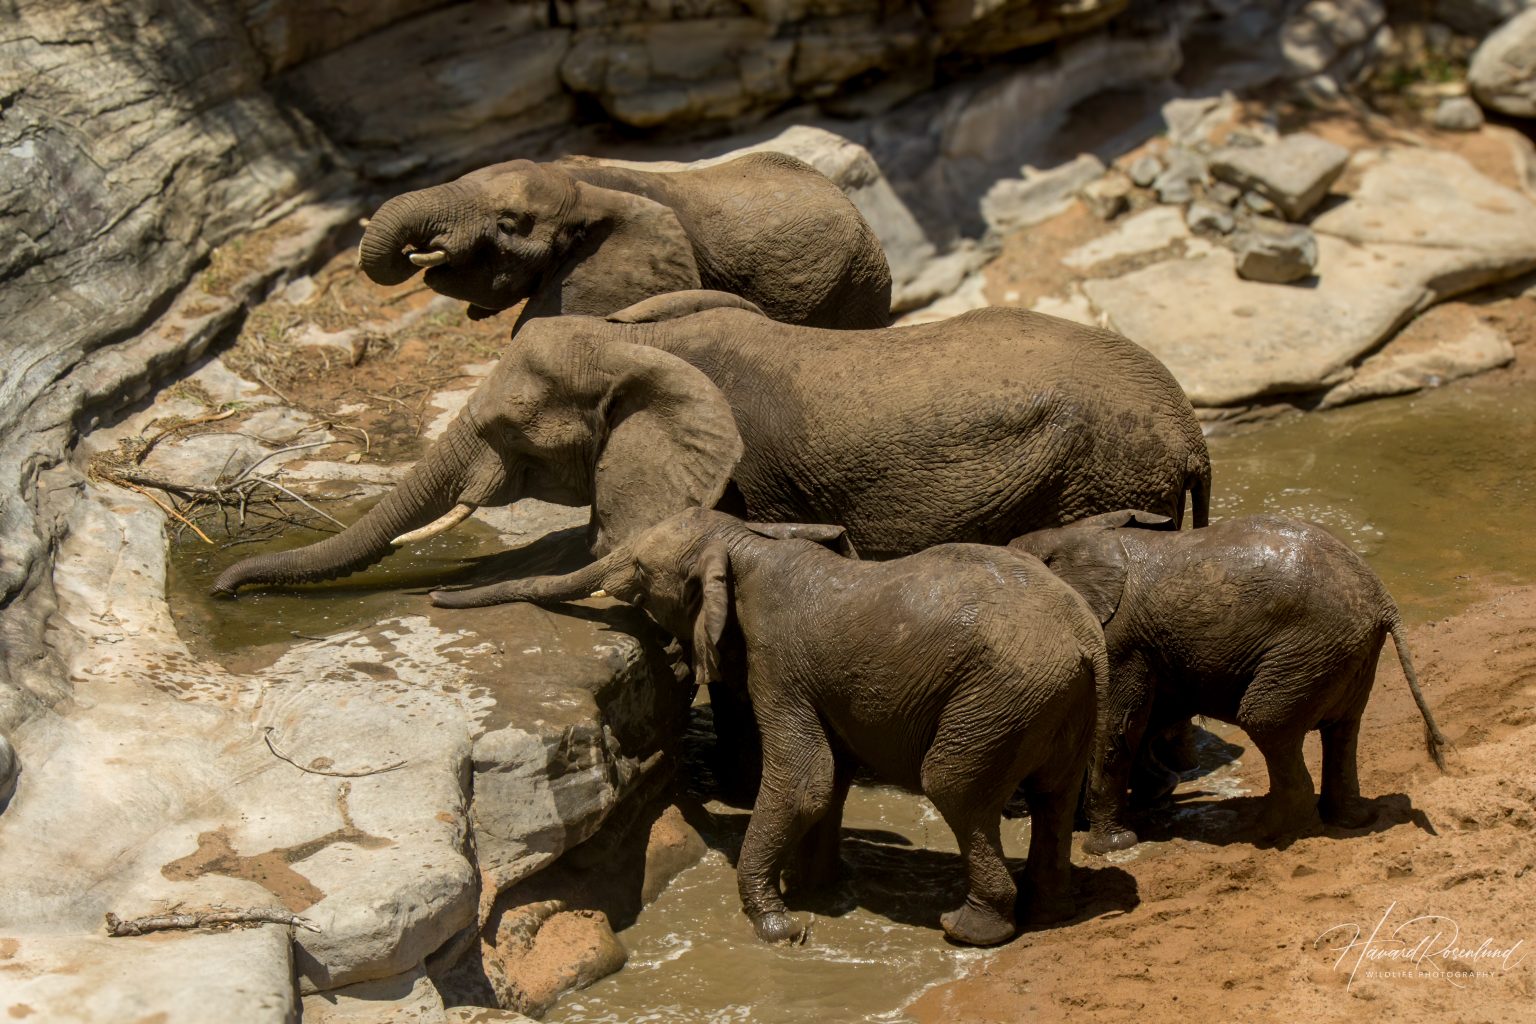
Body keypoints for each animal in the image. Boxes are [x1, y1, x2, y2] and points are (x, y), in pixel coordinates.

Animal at [210, 300, 1212, 600]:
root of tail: (1194, 432)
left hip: (1095, 472)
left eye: (506, 426)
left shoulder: (740, 473)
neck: (637, 340)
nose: (223, 587)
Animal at [504, 507, 1102, 946]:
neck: (746, 542)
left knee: (954, 786)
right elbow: (831, 778)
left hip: (1001, 698)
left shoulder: (776, 660)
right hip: (1056, 703)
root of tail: (1084, 635)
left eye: (643, 573)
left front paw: (780, 928)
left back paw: (967, 930)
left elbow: (805, 781)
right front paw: (818, 894)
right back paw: (1050, 911)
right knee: (1056, 793)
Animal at [1008, 511, 1451, 855]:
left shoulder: (1119, 642)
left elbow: (1115, 727)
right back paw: (1349, 819)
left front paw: (1107, 847)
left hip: (1313, 646)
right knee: (1343, 728)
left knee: (1266, 720)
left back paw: (1270, 832)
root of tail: (1381, 595)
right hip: (1346, 652)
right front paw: (1153, 796)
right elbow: (1149, 720)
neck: (1068, 536)